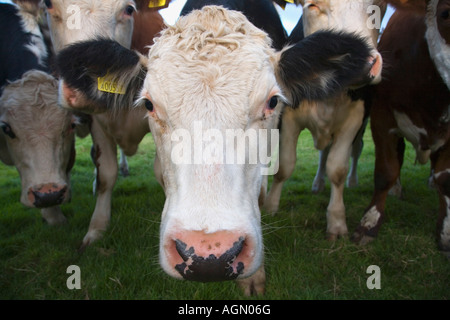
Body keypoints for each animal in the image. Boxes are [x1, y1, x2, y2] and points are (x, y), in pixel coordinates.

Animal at [37, 0, 170, 248]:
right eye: (49, 4)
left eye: (128, 9)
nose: (84, 84)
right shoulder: (97, 124)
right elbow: (106, 175)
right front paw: (96, 228)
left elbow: (162, 171)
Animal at [264, 0, 386, 240]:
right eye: (313, 5)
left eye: (379, 5)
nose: (360, 63)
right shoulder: (289, 118)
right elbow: (285, 166)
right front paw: (271, 207)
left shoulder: (354, 120)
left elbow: (337, 169)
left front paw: (337, 222)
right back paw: (318, 184)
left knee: (355, 150)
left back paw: (352, 181)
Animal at [352, 0, 450, 252]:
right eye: (446, 14)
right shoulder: (382, 117)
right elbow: (385, 171)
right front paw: (369, 223)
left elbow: (445, 178)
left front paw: (446, 232)